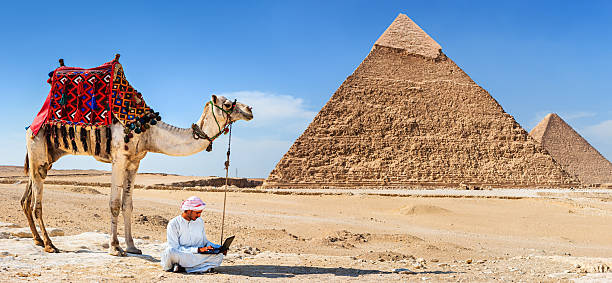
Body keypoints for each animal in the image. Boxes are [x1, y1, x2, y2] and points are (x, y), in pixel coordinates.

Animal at [23, 94, 253, 256]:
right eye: (228, 104)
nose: (250, 109)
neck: (149, 131)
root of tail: (30, 125)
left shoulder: (134, 162)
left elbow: (128, 205)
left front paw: (132, 247)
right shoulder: (118, 159)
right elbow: (115, 204)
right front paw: (115, 248)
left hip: (46, 157)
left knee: (27, 198)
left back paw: (37, 240)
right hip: (37, 149)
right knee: (36, 203)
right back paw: (49, 245)